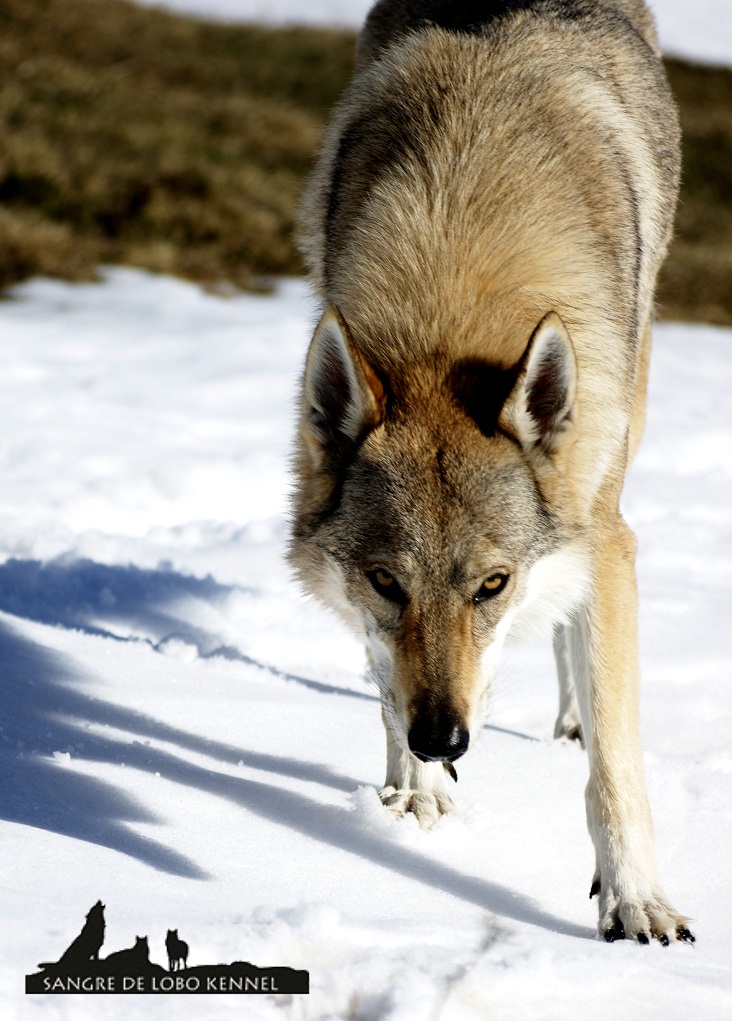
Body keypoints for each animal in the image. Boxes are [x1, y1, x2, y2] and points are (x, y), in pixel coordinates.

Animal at [289, 0, 690, 943]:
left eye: (492, 583)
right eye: (387, 582)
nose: (444, 740)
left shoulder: (605, 536)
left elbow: (616, 761)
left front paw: (636, 901)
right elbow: (384, 673)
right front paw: (415, 791)